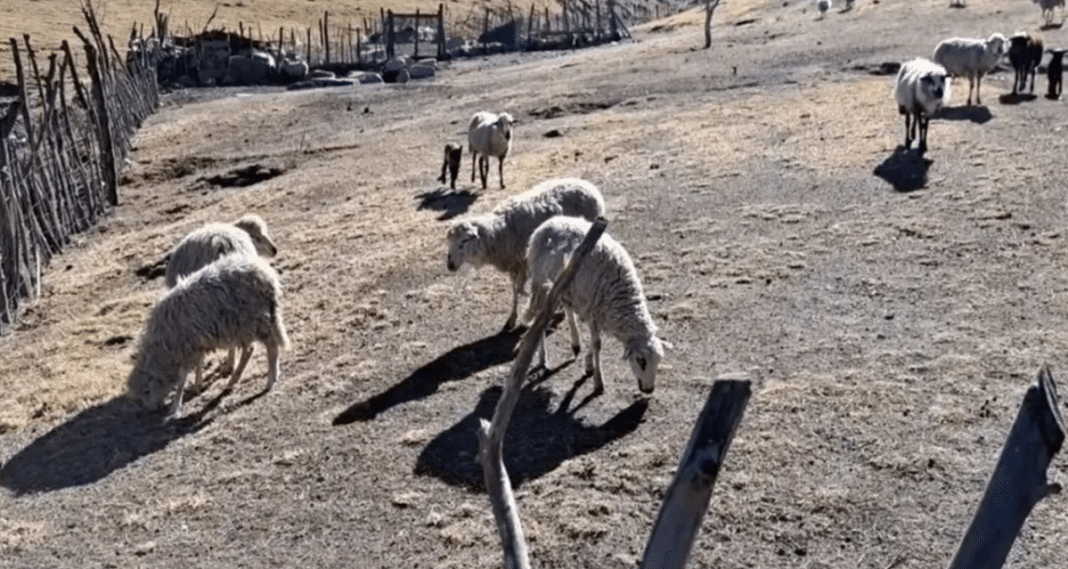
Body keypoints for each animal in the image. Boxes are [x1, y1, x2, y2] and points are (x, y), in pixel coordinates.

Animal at [127, 254, 290, 416]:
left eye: (146, 391)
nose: (151, 409)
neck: (162, 348)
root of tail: (267, 275)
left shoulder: (186, 349)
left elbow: (182, 377)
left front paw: (175, 405)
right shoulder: (197, 345)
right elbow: (199, 364)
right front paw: (197, 385)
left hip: (254, 319)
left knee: (270, 346)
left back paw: (270, 380)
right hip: (242, 326)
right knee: (250, 349)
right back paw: (235, 379)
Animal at [444, 176, 610, 328]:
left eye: (464, 241)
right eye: (449, 242)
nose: (450, 265)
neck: (499, 233)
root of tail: (588, 186)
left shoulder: (523, 262)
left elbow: (520, 289)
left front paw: (533, 304)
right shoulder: (514, 264)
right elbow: (515, 290)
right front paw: (512, 317)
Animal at [523, 215, 666, 397]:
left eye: (659, 361)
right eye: (640, 360)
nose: (649, 390)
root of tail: (550, 221)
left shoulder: (598, 313)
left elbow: (595, 342)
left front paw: (588, 365)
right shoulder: (593, 310)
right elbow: (598, 345)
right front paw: (598, 382)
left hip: (566, 287)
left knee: (568, 309)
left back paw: (575, 343)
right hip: (541, 282)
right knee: (540, 317)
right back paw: (543, 358)